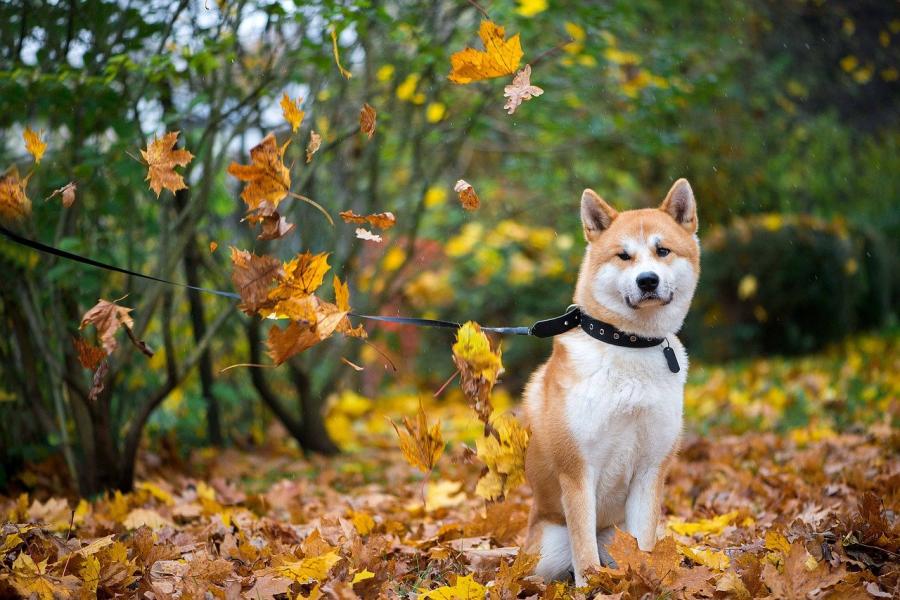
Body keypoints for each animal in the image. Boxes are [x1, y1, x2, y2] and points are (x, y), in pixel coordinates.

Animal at [520, 179, 704, 584]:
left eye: (662, 250)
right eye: (623, 256)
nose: (647, 280)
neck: (628, 344)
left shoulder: (651, 469)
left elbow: (643, 544)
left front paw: (646, 579)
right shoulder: (577, 470)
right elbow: (584, 550)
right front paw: (592, 584)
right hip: (548, 549)